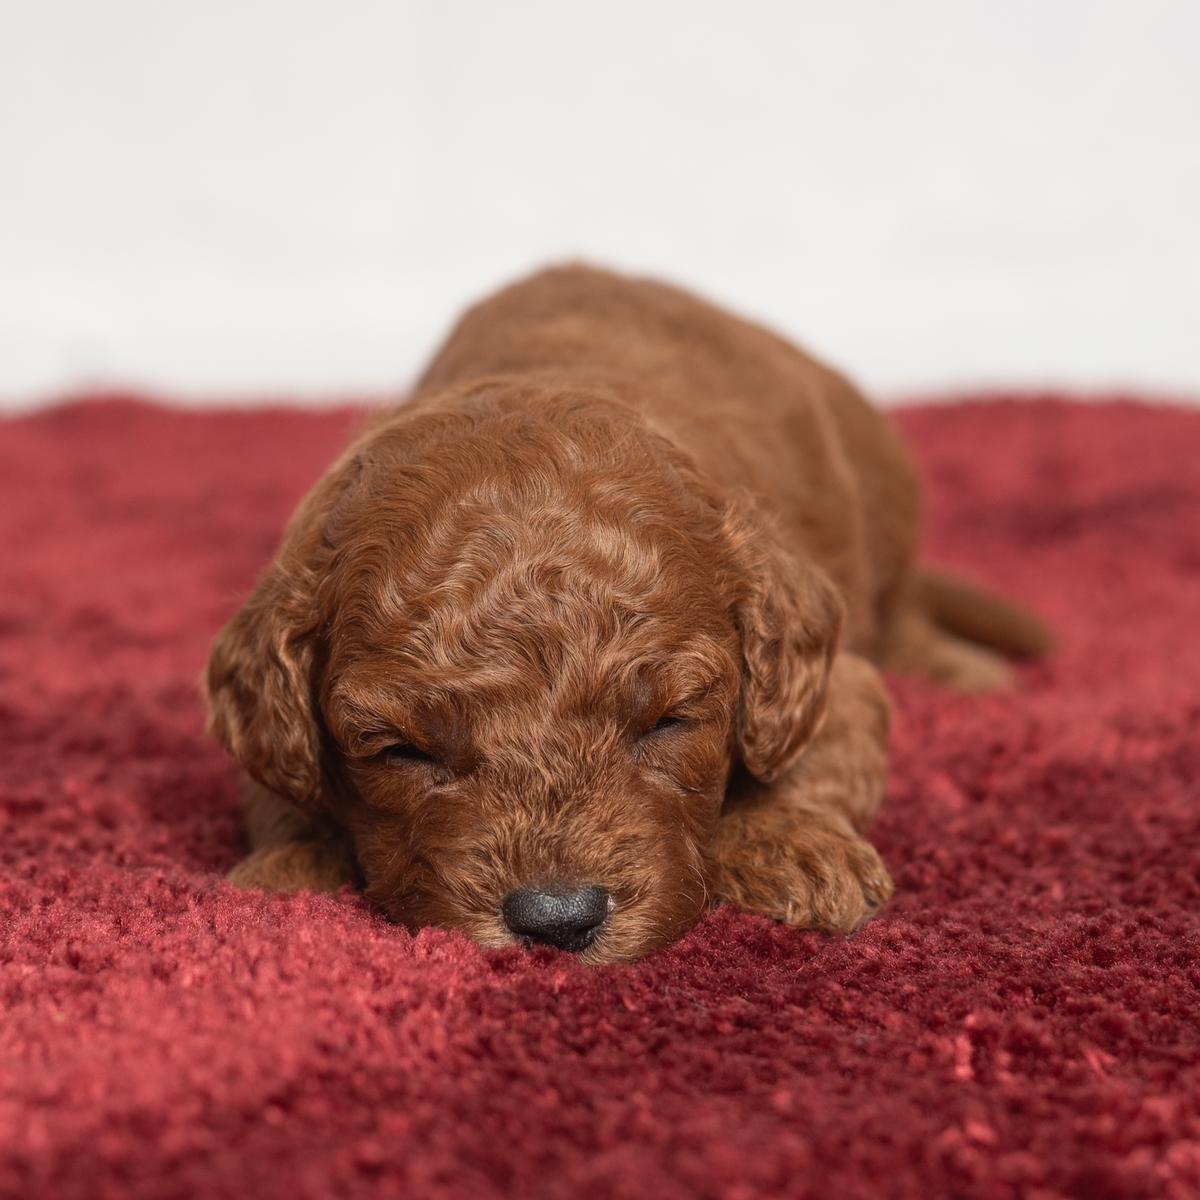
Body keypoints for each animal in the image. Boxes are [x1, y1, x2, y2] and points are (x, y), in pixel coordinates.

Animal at [205, 265, 1051, 963]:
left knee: (903, 608)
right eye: (400, 751)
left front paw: (793, 845)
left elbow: (822, 747)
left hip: (885, 494)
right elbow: (277, 796)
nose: (556, 920)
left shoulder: (827, 668)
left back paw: (961, 668)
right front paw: (288, 874)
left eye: (669, 722)